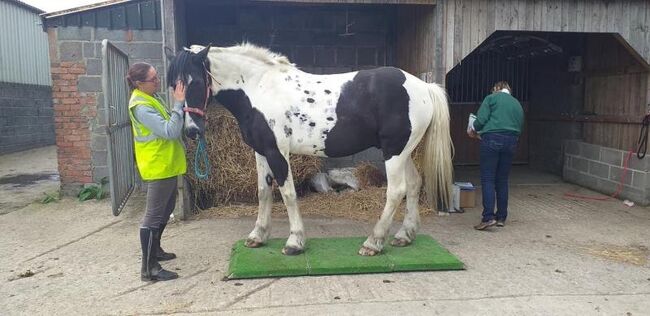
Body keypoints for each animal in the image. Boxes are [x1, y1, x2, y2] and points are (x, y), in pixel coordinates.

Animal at [167, 44, 450, 256]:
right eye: (174, 86)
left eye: (194, 82)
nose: (191, 131)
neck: (259, 88)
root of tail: (424, 87)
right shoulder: (261, 151)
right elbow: (263, 192)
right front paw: (258, 236)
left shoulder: (277, 151)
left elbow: (288, 194)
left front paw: (295, 242)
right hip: (404, 152)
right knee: (413, 184)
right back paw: (404, 236)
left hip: (394, 152)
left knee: (396, 191)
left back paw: (373, 242)